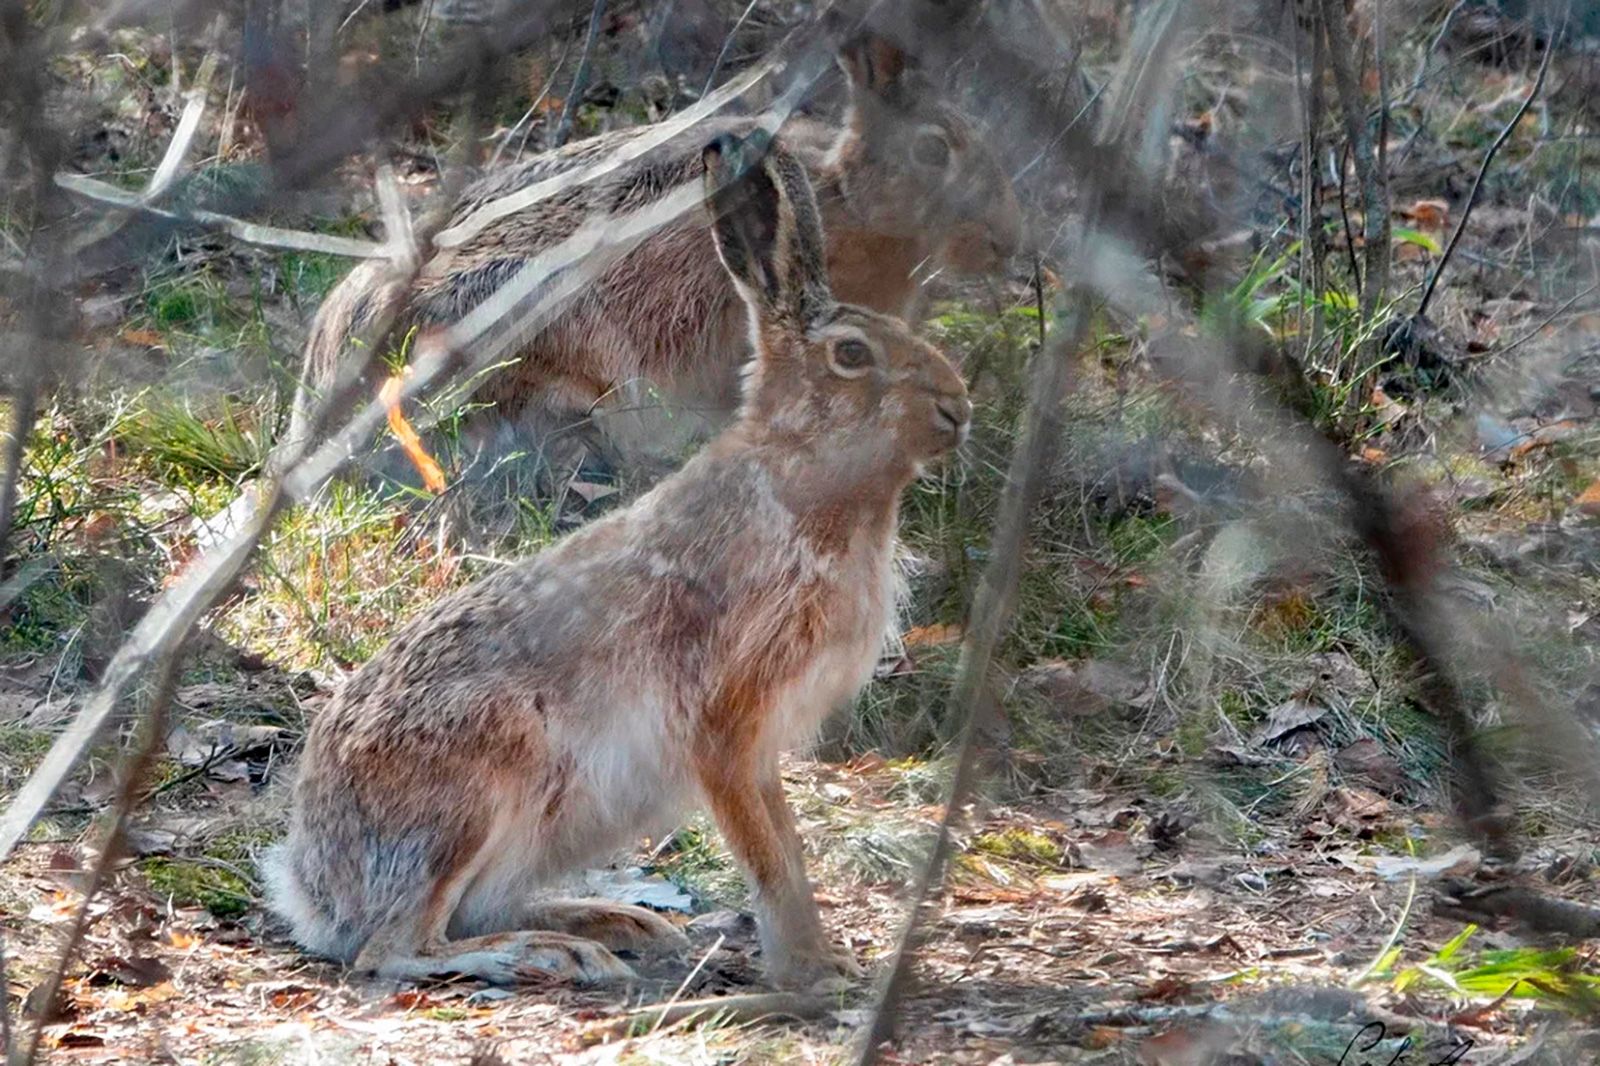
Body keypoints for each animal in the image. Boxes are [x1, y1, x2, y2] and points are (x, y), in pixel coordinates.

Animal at [262, 128, 972, 989]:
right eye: (851, 354)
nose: (957, 407)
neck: (805, 479)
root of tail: (310, 886)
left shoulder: (762, 744)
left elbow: (787, 843)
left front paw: (822, 957)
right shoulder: (723, 722)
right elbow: (766, 852)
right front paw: (808, 967)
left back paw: (613, 922)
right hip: (476, 785)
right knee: (395, 947)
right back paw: (551, 952)